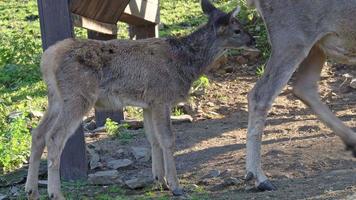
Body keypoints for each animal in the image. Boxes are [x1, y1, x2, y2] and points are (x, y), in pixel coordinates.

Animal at [24, 0, 253, 198]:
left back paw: (32, 190)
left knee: (38, 133)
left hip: (56, 99)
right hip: (77, 96)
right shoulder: (161, 97)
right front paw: (176, 186)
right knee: (54, 137)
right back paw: (55, 193)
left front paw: (160, 180)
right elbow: (168, 140)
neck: (185, 65)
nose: (254, 39)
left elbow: (153, 139)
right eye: (237, 30)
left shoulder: (148, 104)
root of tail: (47, 59)